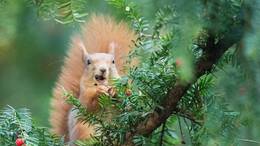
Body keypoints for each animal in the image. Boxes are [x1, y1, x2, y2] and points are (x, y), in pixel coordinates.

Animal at [48, 15, 135, 143]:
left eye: (113, 61)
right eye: (88, 62)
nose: (103, 69)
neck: (102, 84)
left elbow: (129, 99)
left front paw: (117, 91)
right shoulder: (84, 96)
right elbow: (88, 105)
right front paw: (99, 93)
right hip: (84, 129)